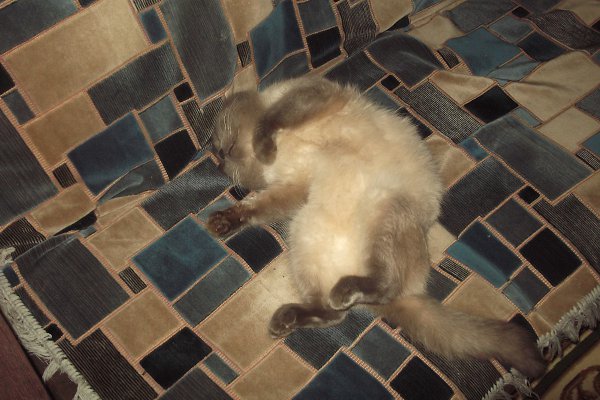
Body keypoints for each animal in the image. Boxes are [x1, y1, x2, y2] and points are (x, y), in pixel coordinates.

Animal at [208, 76, 546, 378]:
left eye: (219, 130)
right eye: (218, 154)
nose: (219, 159)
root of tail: (409, 293)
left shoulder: (311, 97)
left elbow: (270, 119)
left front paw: (264, 147)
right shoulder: (293, 187)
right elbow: (255, 208)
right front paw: (223, 221)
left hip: (382, 211)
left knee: (382, 287)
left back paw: (342, 292)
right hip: (304, 235)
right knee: (334, 313)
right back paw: (289, 317)